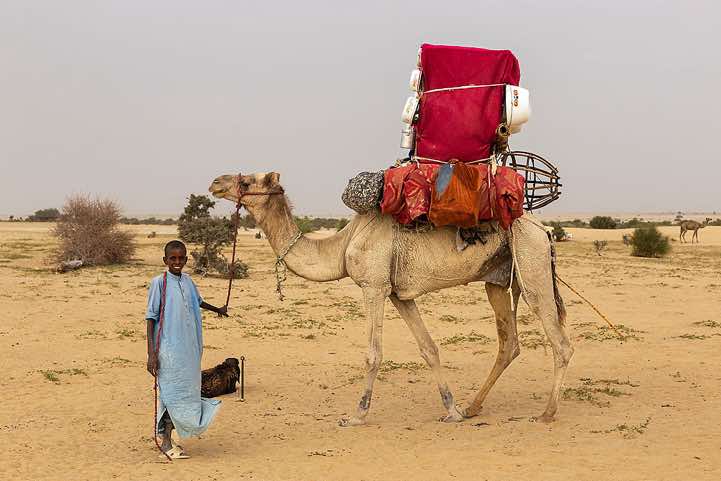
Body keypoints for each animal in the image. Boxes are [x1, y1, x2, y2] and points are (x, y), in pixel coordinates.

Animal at [209, 172, 573, 425]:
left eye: (246, 180)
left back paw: (547, 413)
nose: (216, 182)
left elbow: (373, 354)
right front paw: (452, 409)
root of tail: (544, 229)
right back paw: (473, 407)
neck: (343, 244)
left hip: (532, 264)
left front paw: (356, 416)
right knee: (509, 341)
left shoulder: (373, 286)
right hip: (498, 280)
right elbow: (429, 349)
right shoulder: (400, 295)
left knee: (560, 342)